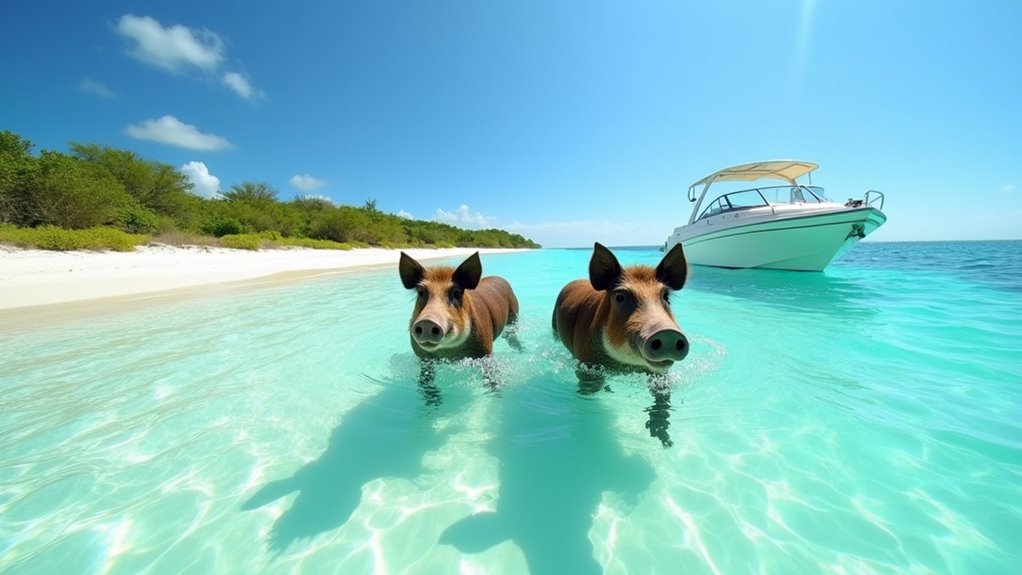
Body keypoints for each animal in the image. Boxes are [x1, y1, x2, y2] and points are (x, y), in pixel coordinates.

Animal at [399, 251, 521, 403]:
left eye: (456, 292)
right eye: (421, 292)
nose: (428, 321)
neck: (449, 353)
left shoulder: (486, 352)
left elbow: (492, 377)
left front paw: (498, 396)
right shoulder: (423, 358)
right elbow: (424, 381)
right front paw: (434, 402)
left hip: (514, 313)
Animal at [552, 242, 690, 446]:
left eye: (665, 296)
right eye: (620, 297)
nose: (667, 333)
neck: (623, 366)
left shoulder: (660, 374)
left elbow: (662, 398)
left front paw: (665, 441)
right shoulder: (586, 365)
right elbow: (588, 392)